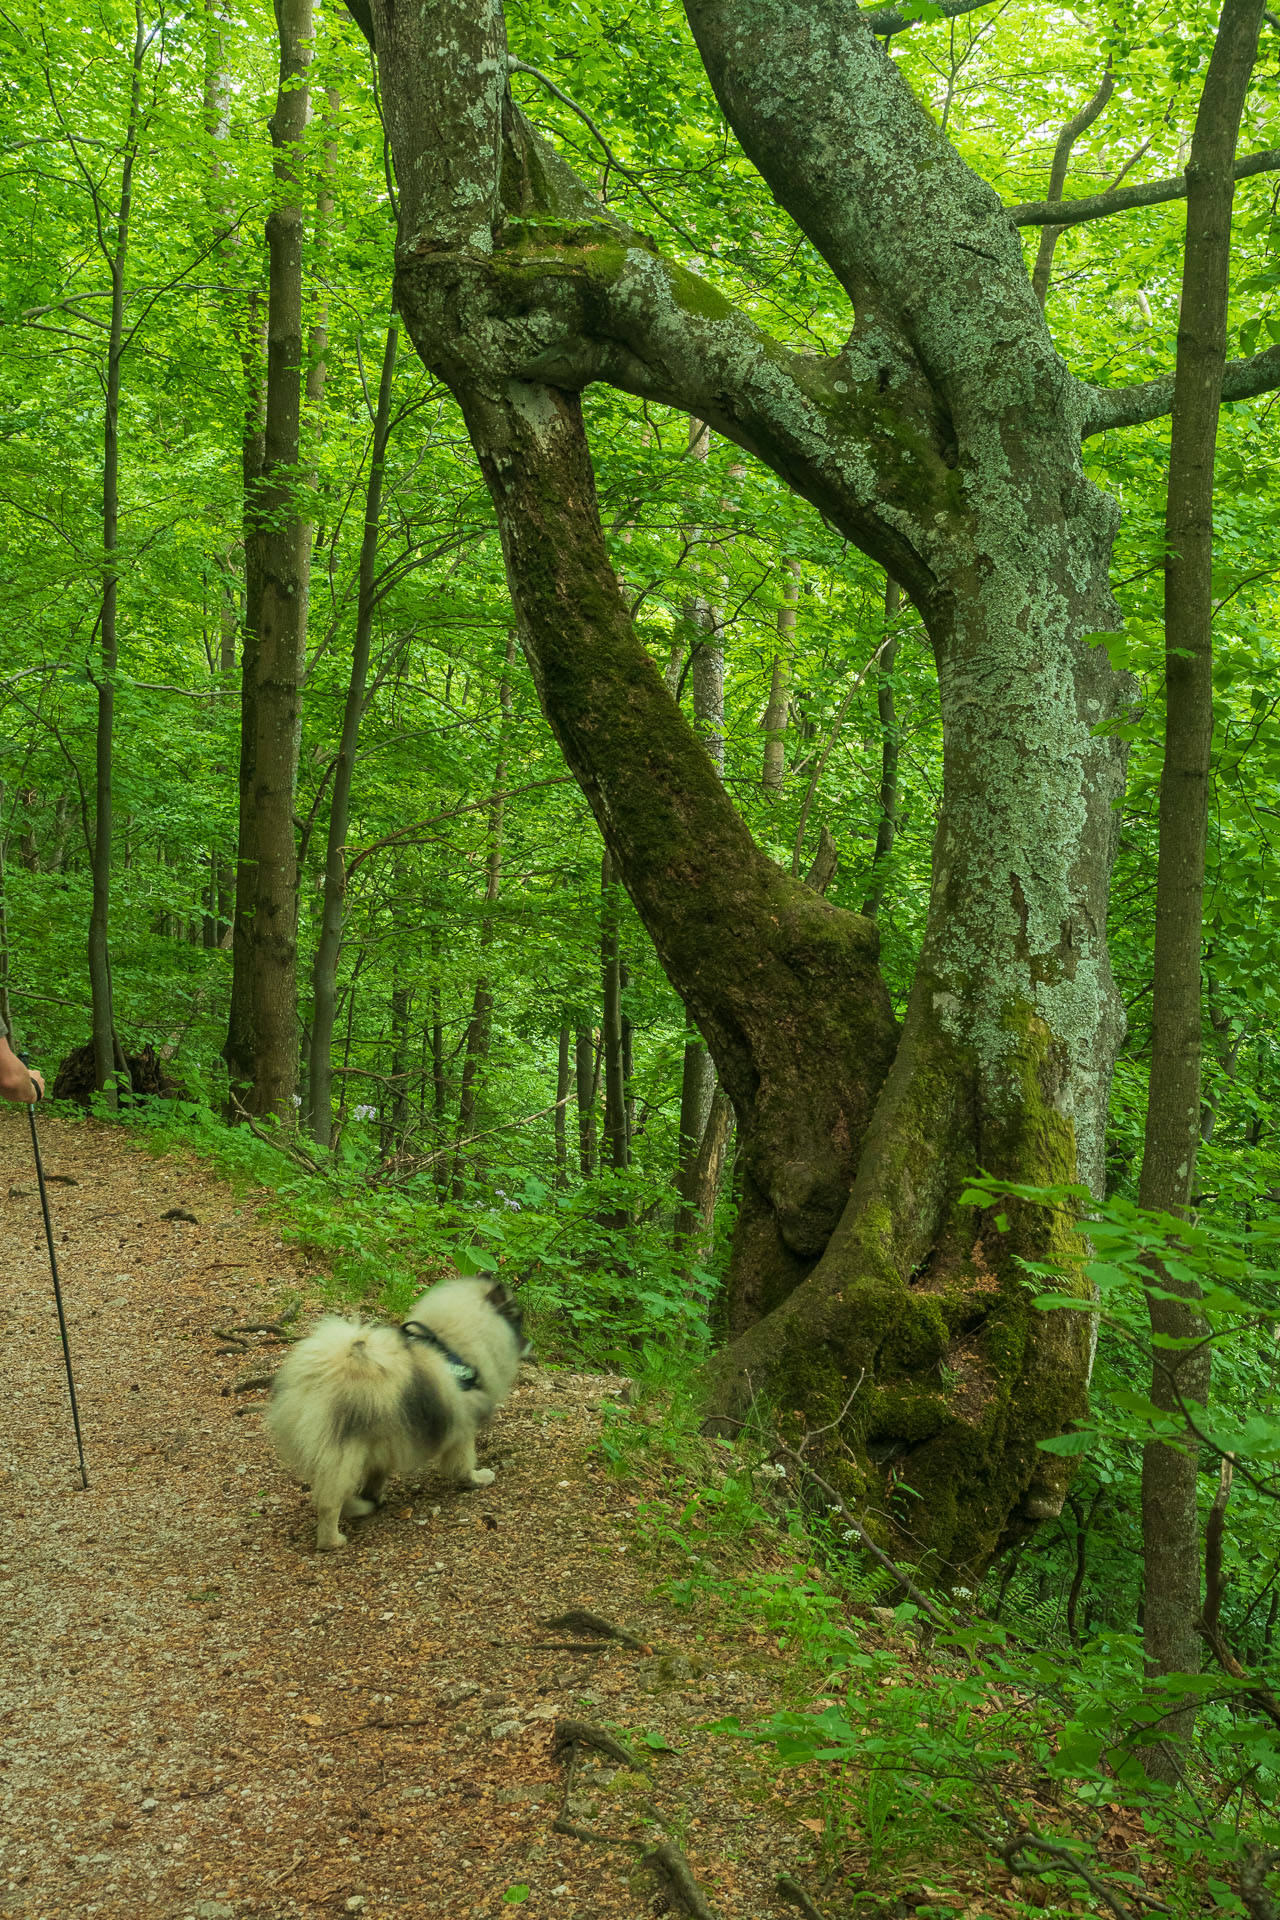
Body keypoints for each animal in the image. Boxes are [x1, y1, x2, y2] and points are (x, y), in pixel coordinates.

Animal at [264, 1282, 525, 1551]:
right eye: (518, 1319)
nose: (529, 1342)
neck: (451, 1346)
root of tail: (318, 1377)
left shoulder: (387, 1440)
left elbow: (377, 1474)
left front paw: (374, 1494)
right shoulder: (462, 1428)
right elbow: (462, 1465)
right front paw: (478, 1479)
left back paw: (361, 1506)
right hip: (343, 1450)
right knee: (330, 1501)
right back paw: (333, 1539)